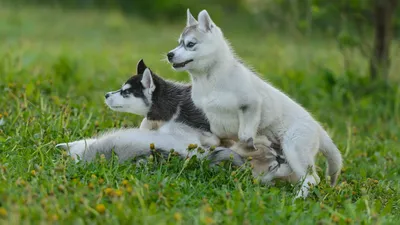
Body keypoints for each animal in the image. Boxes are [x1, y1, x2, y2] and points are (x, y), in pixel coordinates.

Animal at [168, 9, 344, 198]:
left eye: (190, 44)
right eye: (178, 43)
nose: (169, 55)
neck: (209, 79)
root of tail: (318, 128)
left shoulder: (251, 104)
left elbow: (245, 135)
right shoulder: (212, 118)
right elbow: (221, 135)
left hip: (294, 149)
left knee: (312, 179)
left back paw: (297, 198)